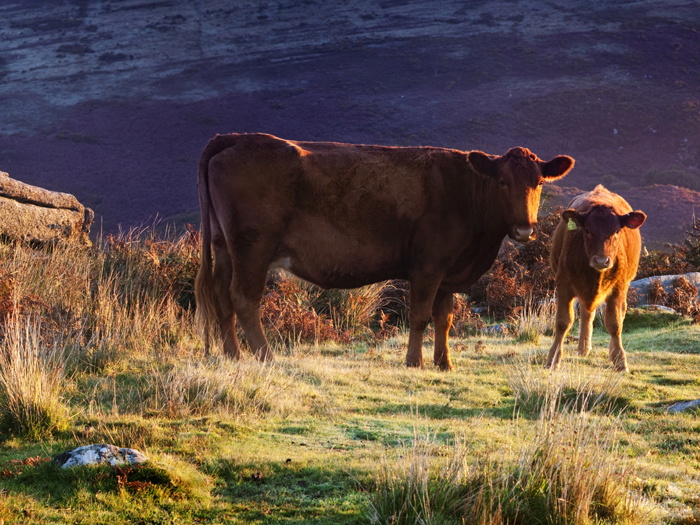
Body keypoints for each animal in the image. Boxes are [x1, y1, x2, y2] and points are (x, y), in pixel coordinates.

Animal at [194, 133, 574, 369]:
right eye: (503, 182)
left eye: (540, 182)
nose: (525, 228)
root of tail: (237, 138)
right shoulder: (427, 267)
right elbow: (420, 316)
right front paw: (414, 362)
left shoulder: (449, 273)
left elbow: (445, 318)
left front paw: (444, 363)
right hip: (252, 248)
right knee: (244, 299)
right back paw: (265, 357)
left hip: (224, 247)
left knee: (222, 298)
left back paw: (233, 356)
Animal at [545, 185, 646, 372]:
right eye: (587, 230)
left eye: (617, 231)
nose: (601, 260)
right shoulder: (564, 284)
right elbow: (563, 322)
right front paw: (553, 359)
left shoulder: (618, 287)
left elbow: (614, 324)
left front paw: (620, 361)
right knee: (587, 314)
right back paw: (583, 348)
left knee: (619, 314)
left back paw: (612, 352)